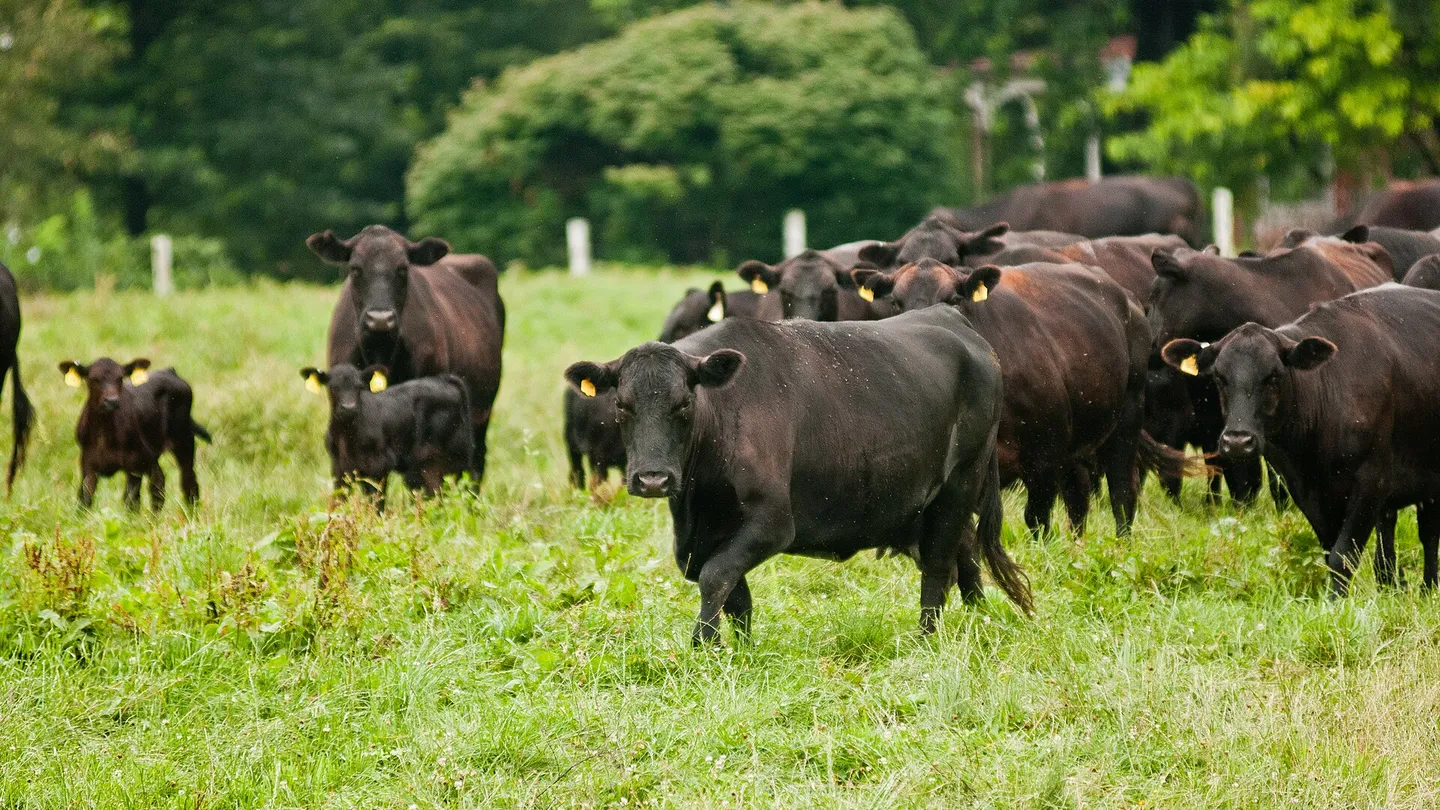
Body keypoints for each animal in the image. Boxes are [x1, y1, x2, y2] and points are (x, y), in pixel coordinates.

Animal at [58, 358, 210, 510]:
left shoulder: (134, 464)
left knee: (188, 481)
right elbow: (84, 499)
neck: (105, 433)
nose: (111, 401)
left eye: (120, 378)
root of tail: (169, 371)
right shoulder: (87, 464)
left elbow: (131, 501)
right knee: (159, 482)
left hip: (183, 439)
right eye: (94, 378)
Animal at [301, 364, 474, 510]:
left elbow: (377, 506)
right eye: (333, 387)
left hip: (445, 461)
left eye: (359, 387)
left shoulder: (378, 467)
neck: (346, 436)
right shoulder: (339, 470)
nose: (348, 408)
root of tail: (444, 380)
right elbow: (337, 504)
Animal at [563, 306, 1031, 643]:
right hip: (924, 502)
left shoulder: (773, 521)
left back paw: (926, 639)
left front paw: (703, 645)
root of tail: (952, 318)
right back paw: (980, 620)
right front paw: (740, 650)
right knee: (964, 554)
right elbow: (733, 592)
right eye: (622, 405)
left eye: (684, 404)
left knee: (938, 565)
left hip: (961, 482)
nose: (653, 479)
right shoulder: (704, 534)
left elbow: (716, 576)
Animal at [853, 258, 1201, 535]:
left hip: (1126, 415)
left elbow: (1037, 518)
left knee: (1122, 492)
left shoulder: (1045, 454)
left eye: (953, 299)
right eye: (896, 302)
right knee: (1079, 497)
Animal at [1160, 285, 1440, 596]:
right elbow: (1330, 550)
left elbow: (1343, 555)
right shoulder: (1304, 488)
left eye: (1273, 376)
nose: (1238, 441)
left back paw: (1428, 587)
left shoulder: (1371, 483)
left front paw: (1336, 601)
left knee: (1428, 533)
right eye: (1220, 378)